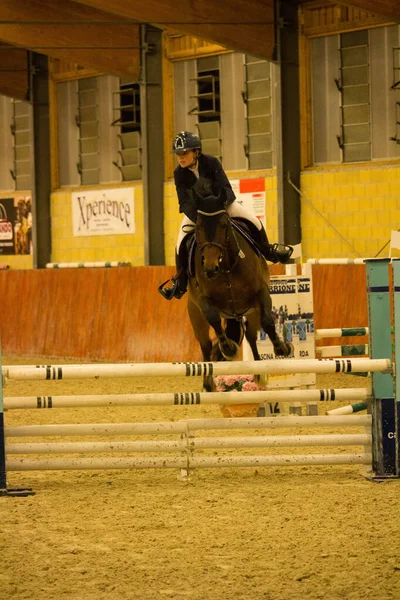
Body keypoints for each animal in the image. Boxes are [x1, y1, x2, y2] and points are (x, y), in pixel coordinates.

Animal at [188, 189, 294, 394]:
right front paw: (229, 348)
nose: (210, 269)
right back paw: (209, 383)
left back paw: (260, 374)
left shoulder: (260, 293)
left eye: (223, 225)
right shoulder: (203, 299)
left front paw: (282, 348)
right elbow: (214, 318)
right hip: (196, 316)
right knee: (205, 345)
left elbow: (268, 322)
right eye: (198, 226)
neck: (227, 267)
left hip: (251, 312)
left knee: (252, 336)